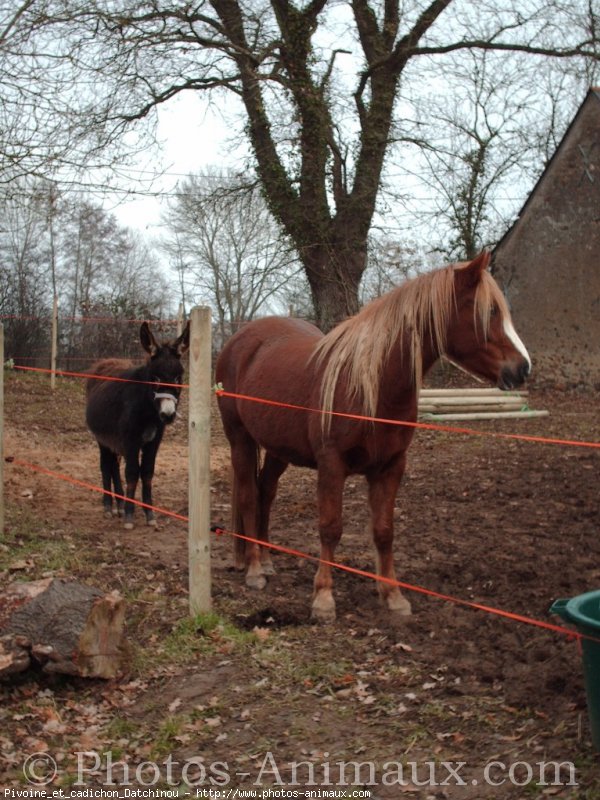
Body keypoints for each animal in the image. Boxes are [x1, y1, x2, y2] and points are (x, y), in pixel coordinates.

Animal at [85, 322, 189, 528]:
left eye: (177, 378)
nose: (168, 415)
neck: (147, 409)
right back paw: (109, 506)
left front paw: (149, 514)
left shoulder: (154, 441)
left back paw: (118, 504)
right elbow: (132, 473)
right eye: (155, 378)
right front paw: (129, 515)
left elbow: (147, 473)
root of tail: (104, 363)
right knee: (105, 465)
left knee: (114, 466)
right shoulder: (130, 440)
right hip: (102, 439)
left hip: (114, 441)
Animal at [216, 253, 528, 620]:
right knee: (249, 497)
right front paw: (323, 598)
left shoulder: (390, 467)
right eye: (490, 311)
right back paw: (253, 569)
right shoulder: (332, 465)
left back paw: (265, 561)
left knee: (265, 492)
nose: (522, 368)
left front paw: (393, 595)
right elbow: (330, 527)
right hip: (240, 439)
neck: (372, 385)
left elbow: (383, 531)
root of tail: (239, 340)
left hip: (279, 448)